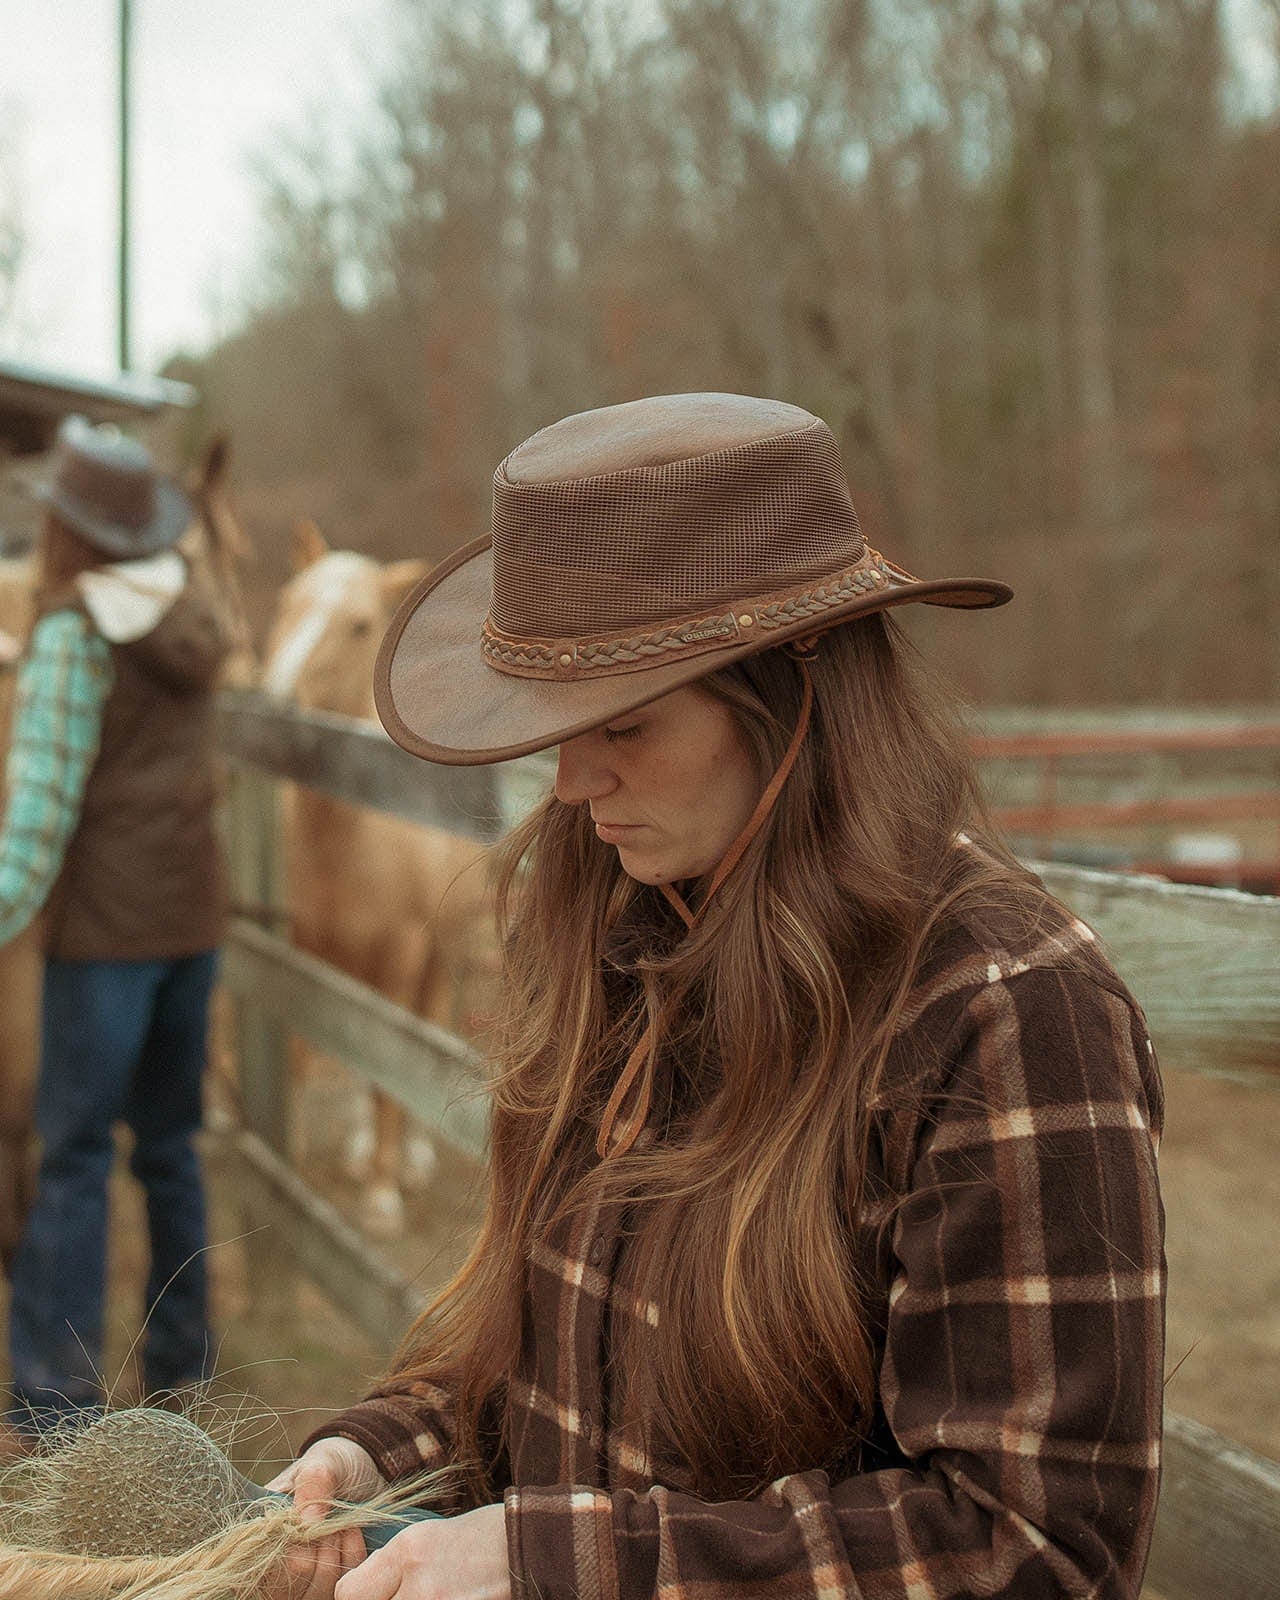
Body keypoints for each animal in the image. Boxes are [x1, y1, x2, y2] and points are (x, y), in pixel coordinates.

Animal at [259, 521, 496, 1235]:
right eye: (287, 602)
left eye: (361, 625)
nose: (276, 705)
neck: (343, 841)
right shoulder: (303, 952)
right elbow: (307, 1055)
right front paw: (295, 1162)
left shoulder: (403, 950)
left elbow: (394, 1070)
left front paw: (383, 1196)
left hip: (441, 953)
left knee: (419, 1032)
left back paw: (409, 1158)